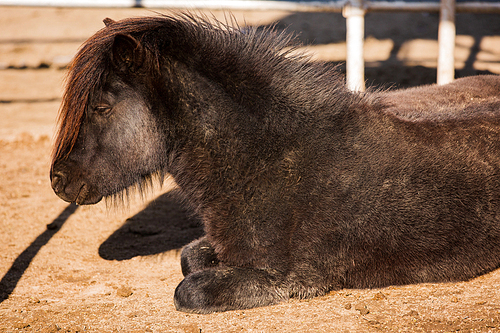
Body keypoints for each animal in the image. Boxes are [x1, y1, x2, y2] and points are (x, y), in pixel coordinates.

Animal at [50, 13, 500, 314]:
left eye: (102, 107)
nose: (58, 180)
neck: (273, 157)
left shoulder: (286, 280)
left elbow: (189, 288)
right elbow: (190, 256)